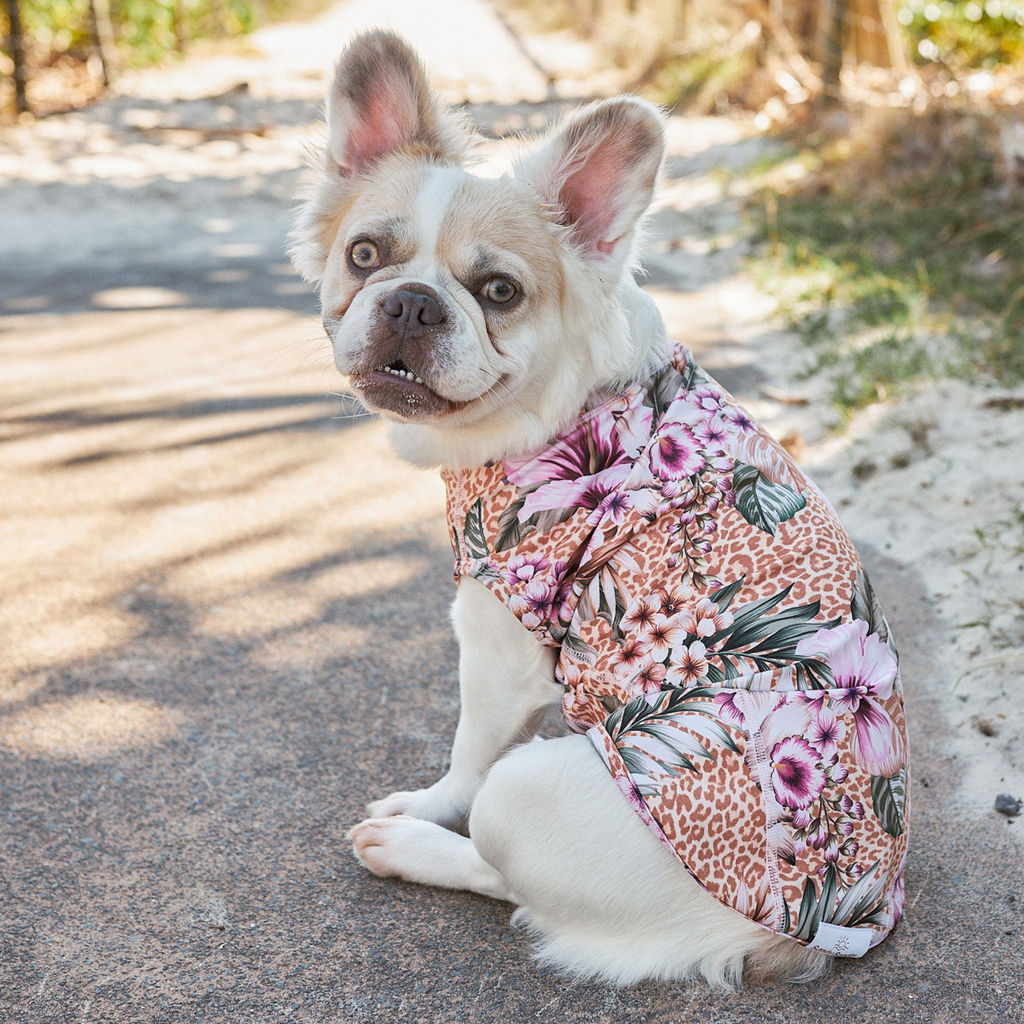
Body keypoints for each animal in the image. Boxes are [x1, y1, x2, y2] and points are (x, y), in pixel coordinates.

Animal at [292, 32, 909, 987]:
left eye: (500, 293)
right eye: (364, 256)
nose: (412, 301)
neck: (555, 407)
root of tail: (798, 934)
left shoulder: (499, 640)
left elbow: (466, 757)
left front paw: (426, 805)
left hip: (524, 796)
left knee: (502, 871)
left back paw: (409, 847)